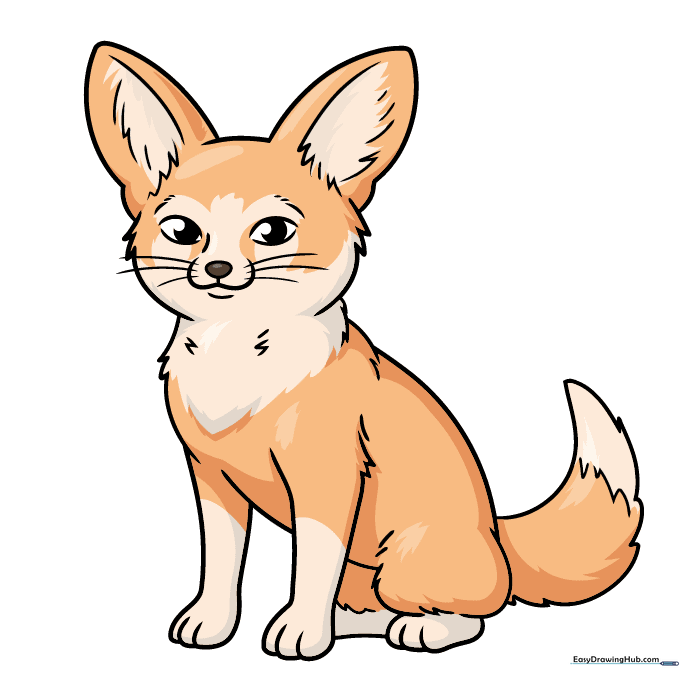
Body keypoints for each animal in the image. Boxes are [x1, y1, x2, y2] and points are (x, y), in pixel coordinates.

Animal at [85, 42, 643, 660]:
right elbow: (222, 562)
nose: (218, 268)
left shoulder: (326, 481)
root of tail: (499, 534)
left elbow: (310, 565)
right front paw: (212, 621)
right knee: (375, 604)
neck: (239, 358)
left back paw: (418, 629)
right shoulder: (211, 480)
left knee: (476, 613)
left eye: (274, 231)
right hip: (369, 572)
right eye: (183, 231)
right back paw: (348, 621)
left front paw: (301, 631)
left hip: (410, 560)